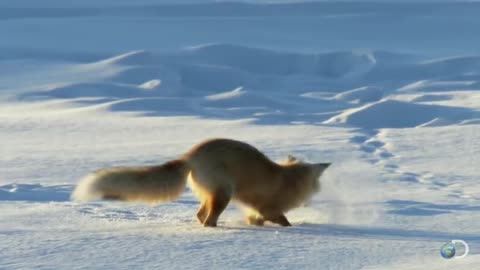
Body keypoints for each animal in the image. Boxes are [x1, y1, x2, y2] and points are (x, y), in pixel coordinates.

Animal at [71, 138, 332, 227]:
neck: (288, 179)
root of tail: (190, 155)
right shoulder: (267, 208)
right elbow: (283, 221)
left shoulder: (254, 211)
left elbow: (258, 220)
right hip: (224, 193)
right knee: (208, 220)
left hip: (212, 195)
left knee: (199, 215)